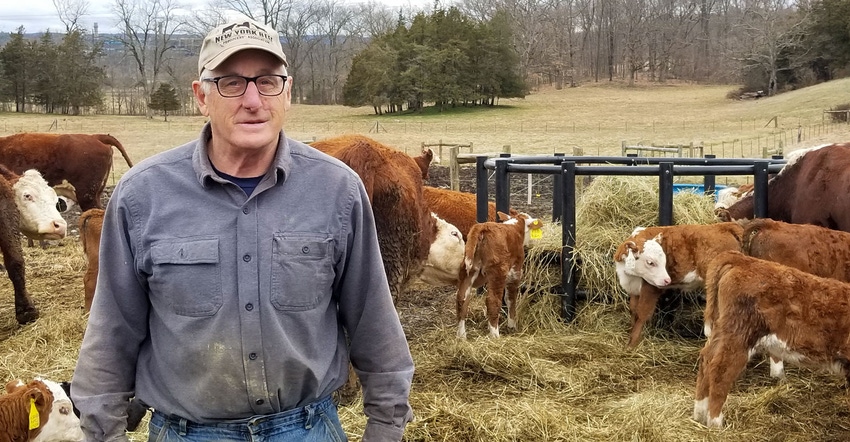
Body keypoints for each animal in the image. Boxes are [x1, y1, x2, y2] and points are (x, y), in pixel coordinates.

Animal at [608, 224, 744, 348]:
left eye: (664, 261)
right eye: (650, 262)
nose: (667, 280)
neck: (629, 275)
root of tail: (724, 226)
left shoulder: (650, 288)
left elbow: (642, 314)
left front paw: (632, 345)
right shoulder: (634, 290)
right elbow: (633, 311)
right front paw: (630, 334)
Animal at [696, 250, 850, 430]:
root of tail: (742, 260)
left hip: (724, 331)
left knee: (706, 360)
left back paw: (699, 414)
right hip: (739, 335)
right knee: (720, 370)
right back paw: (716, 423)